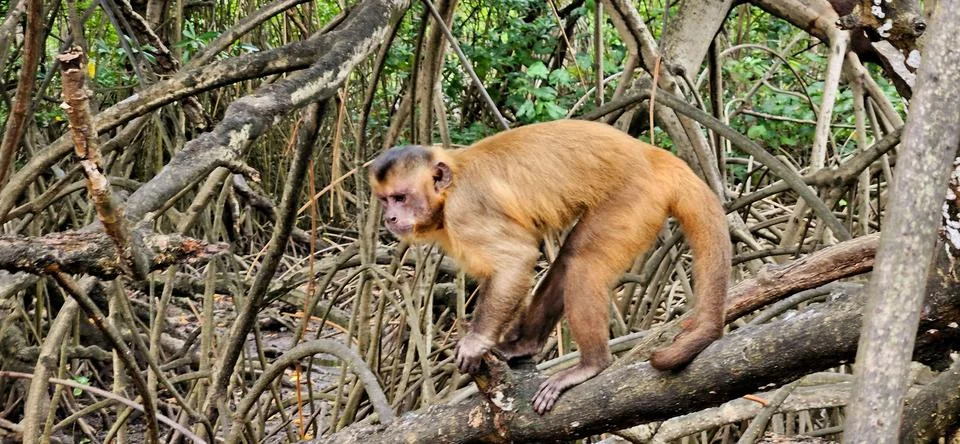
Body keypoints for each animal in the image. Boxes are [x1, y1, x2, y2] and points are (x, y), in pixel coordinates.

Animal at [369, 119, 731, 414]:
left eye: (400, 198)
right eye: (385, 200)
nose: (389, 218)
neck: (450, 187)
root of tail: (653, 154)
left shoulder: (465, 212)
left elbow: (516, 260)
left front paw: (477, 340)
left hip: (634, 199)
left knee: (583, 262)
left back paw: (592, 364)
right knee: (569, 259)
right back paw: (527, 345)